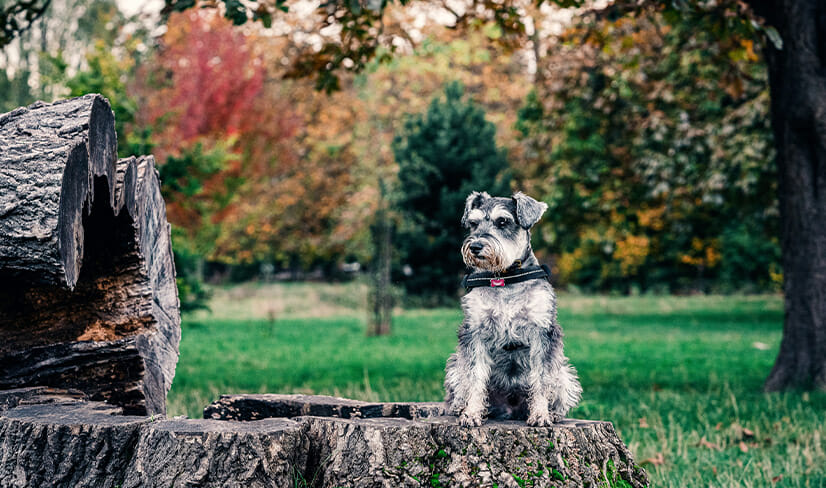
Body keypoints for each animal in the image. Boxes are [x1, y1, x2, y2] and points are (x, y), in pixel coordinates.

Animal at [444, 191, 580, 428]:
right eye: (473, 223)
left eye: (502, 221)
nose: (475, 246)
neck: (504, 278)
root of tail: (510, 410)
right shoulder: (475, 331)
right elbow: (474, 376)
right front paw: (471, 413)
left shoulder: (542, 331)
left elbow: (542, 378)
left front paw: (541, 414)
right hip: (454, 365)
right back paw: (461, 407)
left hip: (564, 372)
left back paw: (554, 413)